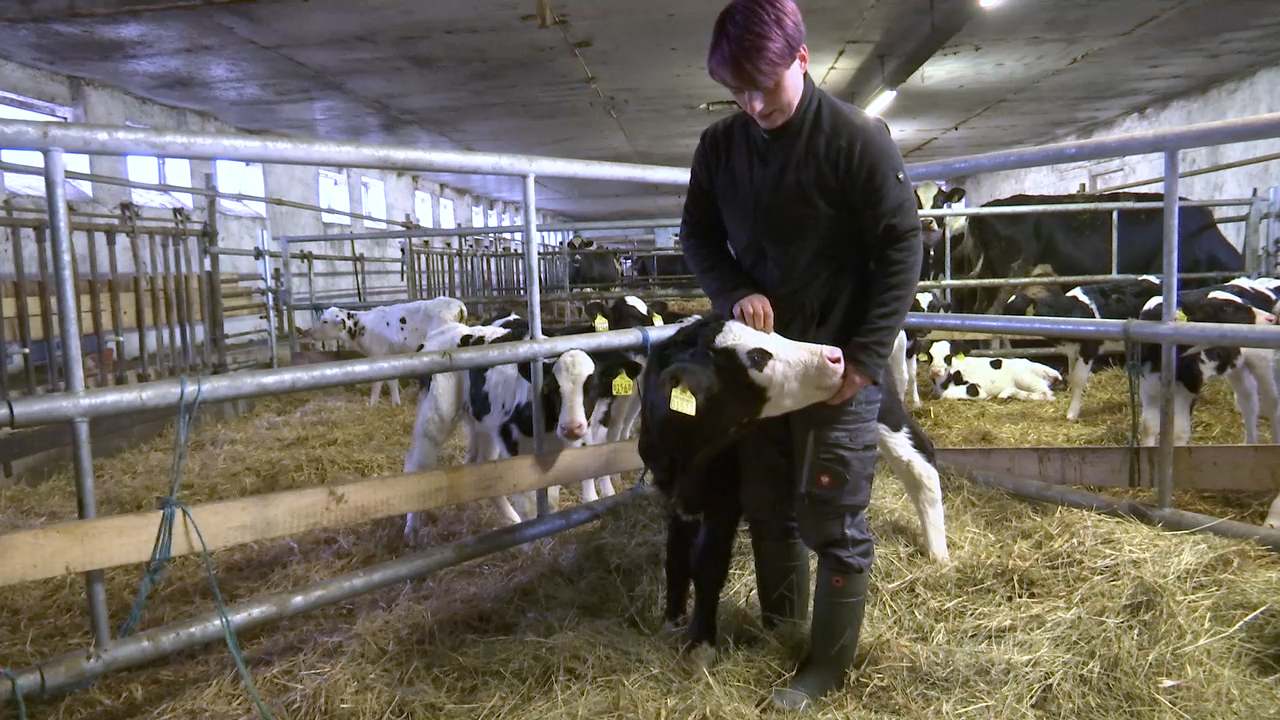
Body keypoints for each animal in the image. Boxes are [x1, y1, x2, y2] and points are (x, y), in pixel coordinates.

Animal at [640, 316, 952, 653]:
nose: (835, 356)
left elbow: (708, 562)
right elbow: (676, 557)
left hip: (884, 408)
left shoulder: (724, 500)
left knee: (921, 463)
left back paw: (938, 553)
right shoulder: (673, 497)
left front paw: (701, 644)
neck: (686, 456)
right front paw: (672, 622)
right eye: (757, 357)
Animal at [1141, 278, 1280, 445]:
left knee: (1272, 403)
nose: (1270, 318)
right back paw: (1250, 443)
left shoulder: (1190, 386)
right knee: (1248, 400)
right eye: (1227, 308)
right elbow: (1149, 426)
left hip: (1262, 360)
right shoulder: (1147, 383)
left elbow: (1179, 432)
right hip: (1237, 365)